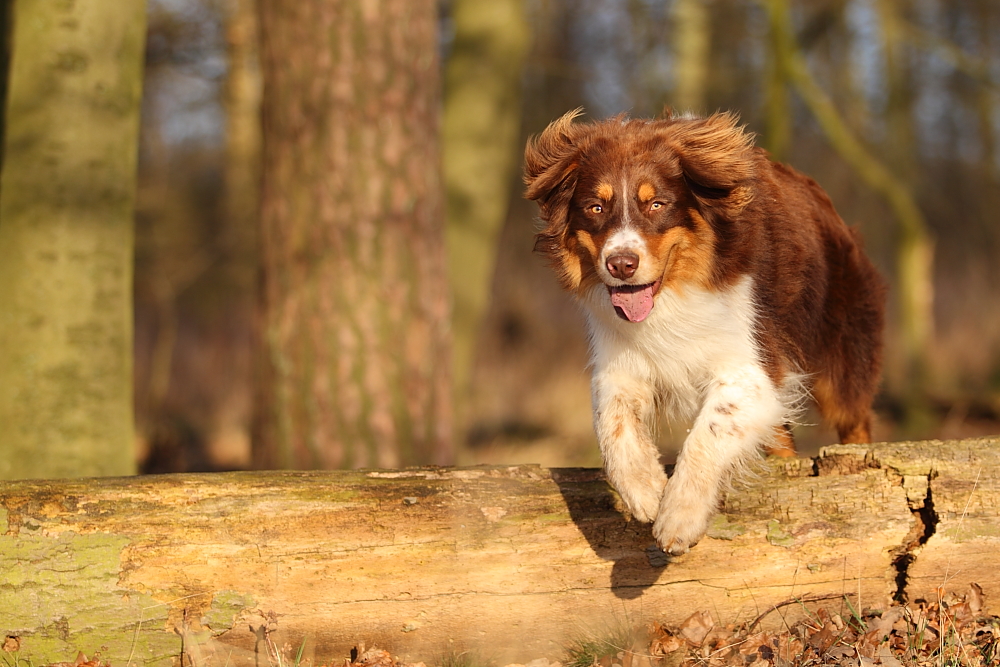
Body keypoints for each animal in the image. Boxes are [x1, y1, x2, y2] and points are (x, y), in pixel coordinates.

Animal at [524, 111, 884, 560]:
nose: (621, 264)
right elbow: (611, 418)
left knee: (853, 415)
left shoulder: (751, 365)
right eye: (595, 207)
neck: (675, 293)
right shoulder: (618, 359)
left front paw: (679, 517)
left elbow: (710, 430)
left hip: (845, 346)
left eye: (657, 204)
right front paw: (645, 490)